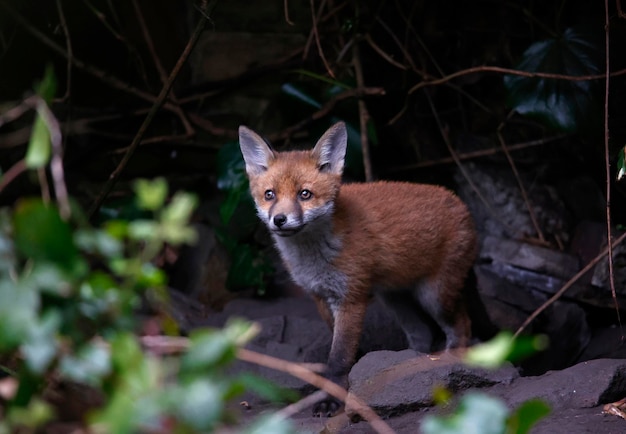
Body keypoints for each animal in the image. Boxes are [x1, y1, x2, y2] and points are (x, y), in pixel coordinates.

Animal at [236, 122, 476, 418]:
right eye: (269, 195)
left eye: (305, 194)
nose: (279, 220)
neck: (315, 257)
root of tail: (458, 201)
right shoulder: (321, 297)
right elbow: (341, 349)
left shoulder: (351, 297)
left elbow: (338, 357)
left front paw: (332, 400)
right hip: (395, 299)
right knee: (422, 332)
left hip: (435, 297)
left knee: (462, 327)